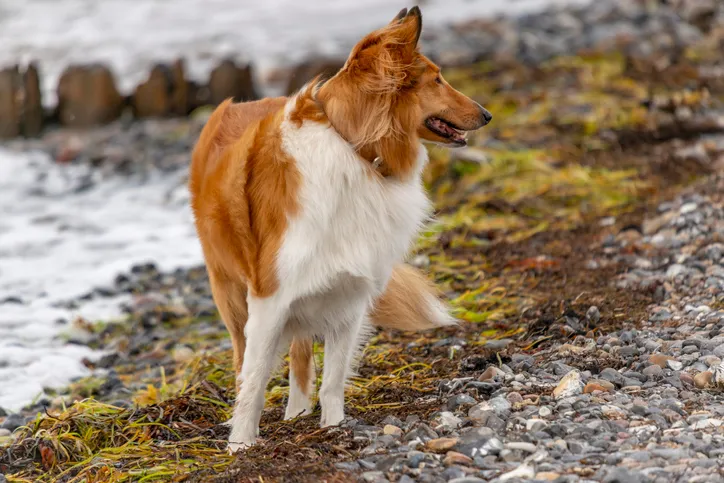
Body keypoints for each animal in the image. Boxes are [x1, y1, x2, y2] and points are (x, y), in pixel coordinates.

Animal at [188, 6, 492, 454]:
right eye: (436, 79)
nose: (487, 114)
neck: (355, 150)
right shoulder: (269, 296)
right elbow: (255, 381)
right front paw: (241, 444)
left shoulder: (349, 295)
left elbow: (332, 379)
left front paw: (333, 428)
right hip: (228, 289)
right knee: (245, 359)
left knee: (300, 355)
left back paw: (298, 412)